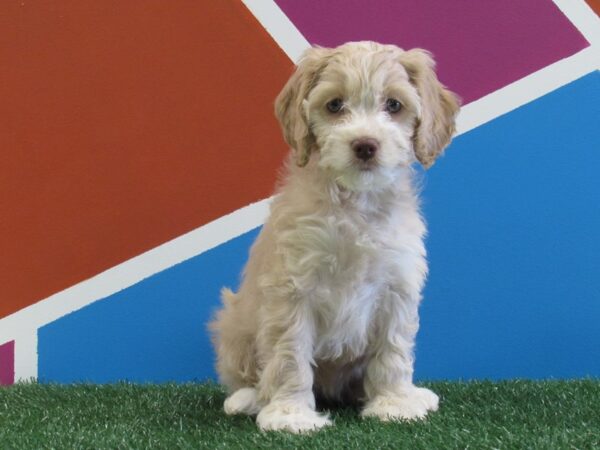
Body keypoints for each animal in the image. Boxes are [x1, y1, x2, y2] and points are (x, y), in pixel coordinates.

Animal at [211, 41, 460, 432]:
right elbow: (290, 354)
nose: (365, 145)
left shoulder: (397, 284)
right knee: (246, 375)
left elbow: (393, 349)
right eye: (334, 105)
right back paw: (248, 399)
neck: (355, 204)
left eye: (394, 105)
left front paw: (395, 403)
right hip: (233, 323)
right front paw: (290, 414)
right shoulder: (293, 288)